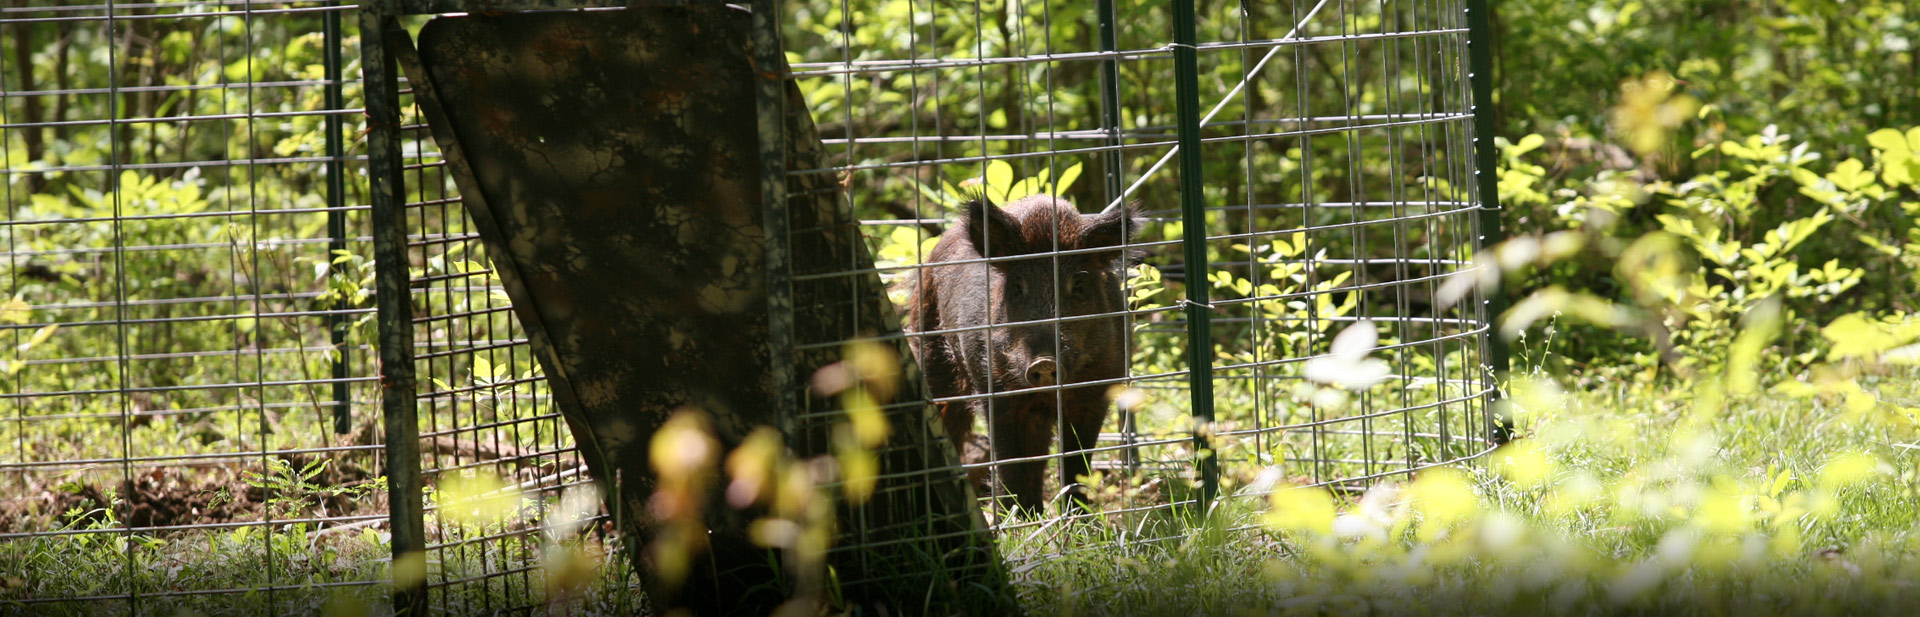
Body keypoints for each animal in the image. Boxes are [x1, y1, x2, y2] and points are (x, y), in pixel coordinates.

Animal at [902, 194, 1136, 511]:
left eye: (1079, 284)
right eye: (1016, 286)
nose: (1045, 361)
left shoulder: (1098, 389)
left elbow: (1077, 462)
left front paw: (1078, 518)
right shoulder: (993, 388)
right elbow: (1008, 461)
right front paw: (1013, 517)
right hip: (933, 351)